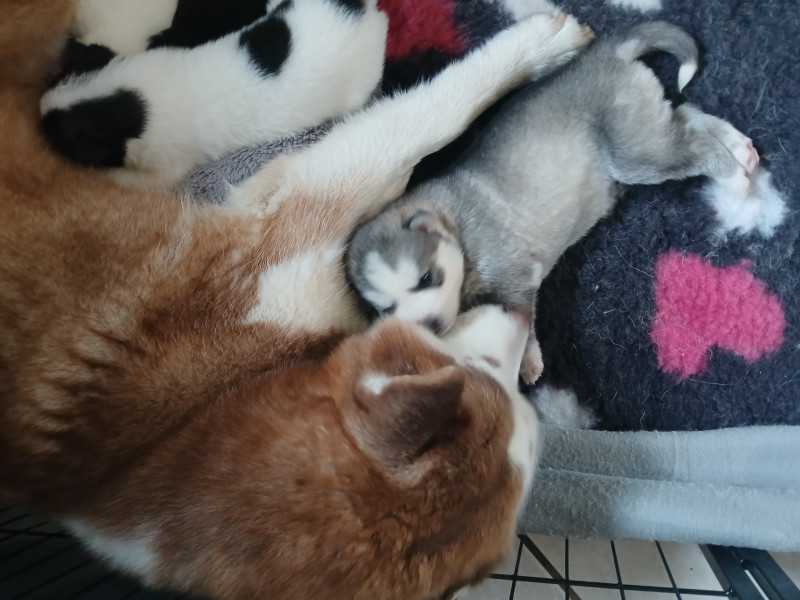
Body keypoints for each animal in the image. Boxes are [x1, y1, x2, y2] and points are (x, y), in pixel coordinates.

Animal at [347, 21, 761, 384]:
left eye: (426, 279)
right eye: (386, 309)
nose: (429, 327)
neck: (453, 224)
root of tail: (602, 52)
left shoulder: (514, 279)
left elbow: (523, 324)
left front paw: (528, 361)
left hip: (635, 151)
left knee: (697, 147)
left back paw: (735, 180)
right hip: (649, 128)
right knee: (689, 120)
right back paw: (740, 146)